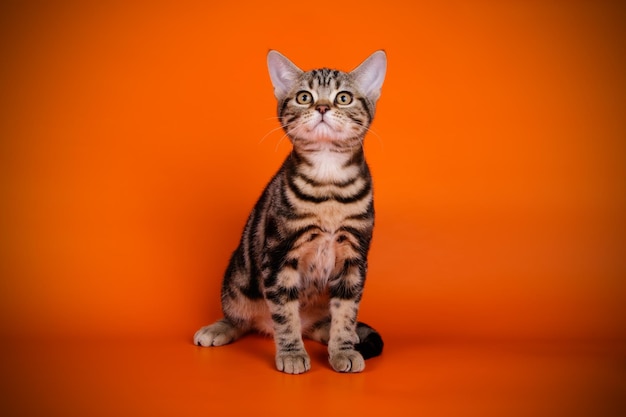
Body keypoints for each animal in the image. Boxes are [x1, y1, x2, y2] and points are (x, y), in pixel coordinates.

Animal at [194, 49, 386, 374]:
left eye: (344, 98)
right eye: (304, 97)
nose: (322, 107)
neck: (328, 179)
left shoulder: (354, 258)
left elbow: (346, 313)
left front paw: (343, 349)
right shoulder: (278, 255)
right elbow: (284, 313)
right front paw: (292, 353)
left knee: (324, 322)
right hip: (236, 281)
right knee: (242, 318)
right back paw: (218, 328)